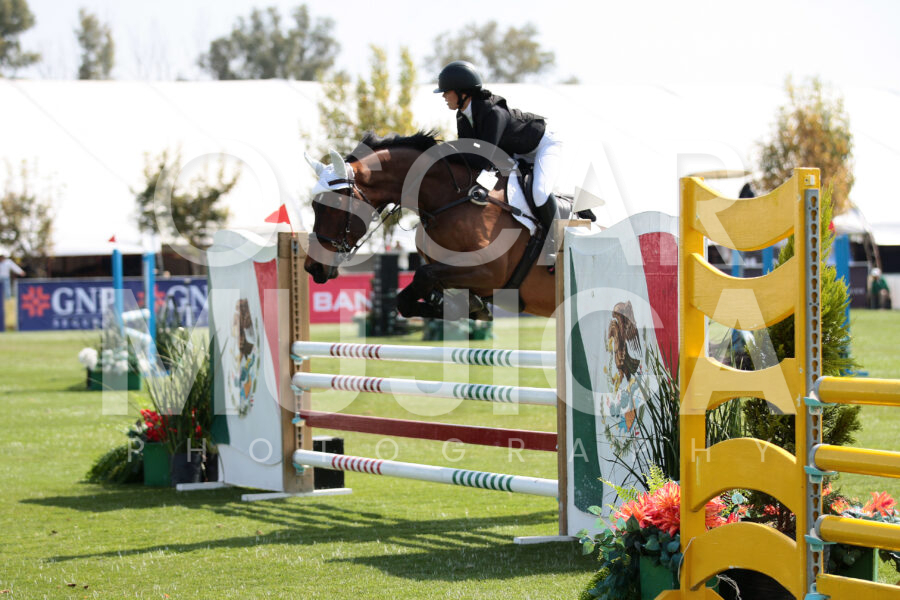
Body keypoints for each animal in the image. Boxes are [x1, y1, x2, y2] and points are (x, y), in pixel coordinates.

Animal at [303, 131, 581, 320]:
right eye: (314, 205)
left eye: (333, 203)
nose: (312, 267)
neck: (448, 199)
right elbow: (409, 297)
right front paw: (465, 307)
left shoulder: (490, 272)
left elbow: (425, 275)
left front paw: (465, 308)